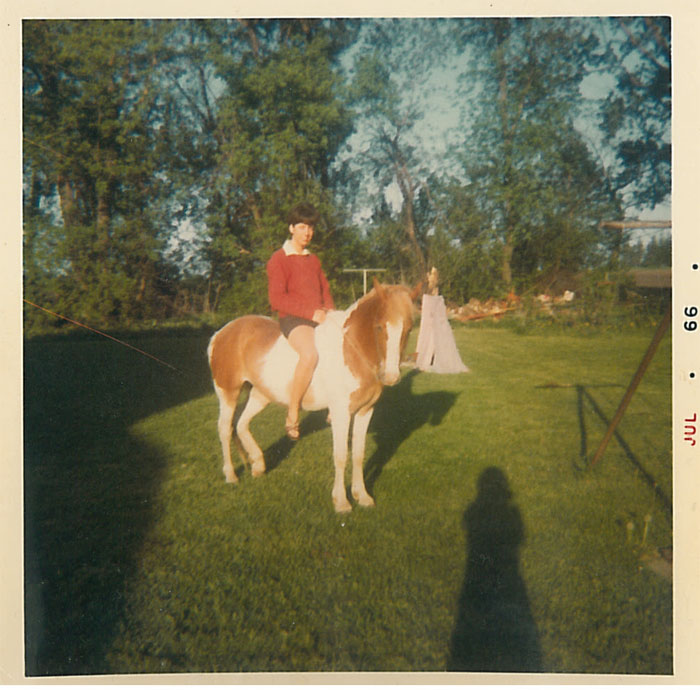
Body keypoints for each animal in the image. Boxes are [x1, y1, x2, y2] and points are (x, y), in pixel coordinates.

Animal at [207, 279, 421, 512]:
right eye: (380, 326)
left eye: (409, 328)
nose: (390, 376)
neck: (352, 350)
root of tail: (221, 333)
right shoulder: (341, 413)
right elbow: (341, 456)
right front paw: (341, 501)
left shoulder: (365, 411)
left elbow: (358, 454)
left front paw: (362, 496)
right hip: (228, 392)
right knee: (225, 429)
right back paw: (231, 475)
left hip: (260, 394)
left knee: (242, 424)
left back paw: (258, 465)